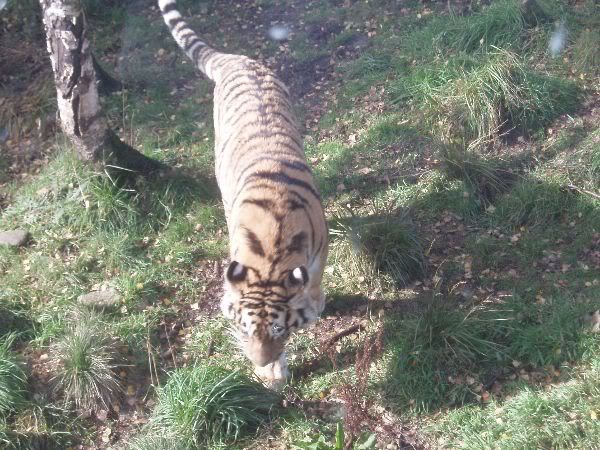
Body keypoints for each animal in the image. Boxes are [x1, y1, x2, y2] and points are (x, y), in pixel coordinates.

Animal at [158, 0, 328, 387]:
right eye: (245, 330)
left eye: (280, 330)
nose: (259, 358)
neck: (271, 254)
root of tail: (235, 60)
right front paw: (272, 373)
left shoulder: (320, 249)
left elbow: (314, 282)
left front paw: (315, 304)